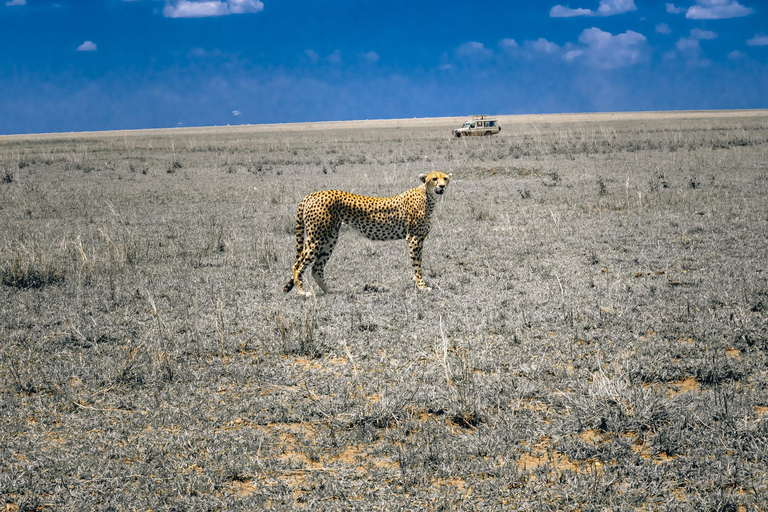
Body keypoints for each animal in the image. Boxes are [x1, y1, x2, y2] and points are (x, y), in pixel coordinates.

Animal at [282, 171, 450, 296]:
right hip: (317, 237)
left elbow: (418, 263)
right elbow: (417, 265)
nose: (442, 186)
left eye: (445, 178)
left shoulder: (421, 238)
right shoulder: (414, 238)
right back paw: (302, 292)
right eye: (434, 178)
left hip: (330, 238)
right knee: (298, 265)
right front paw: (422, 286)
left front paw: (416, 281)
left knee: (316, 268)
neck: (428, 196)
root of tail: (314, 193)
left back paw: (329, 290)